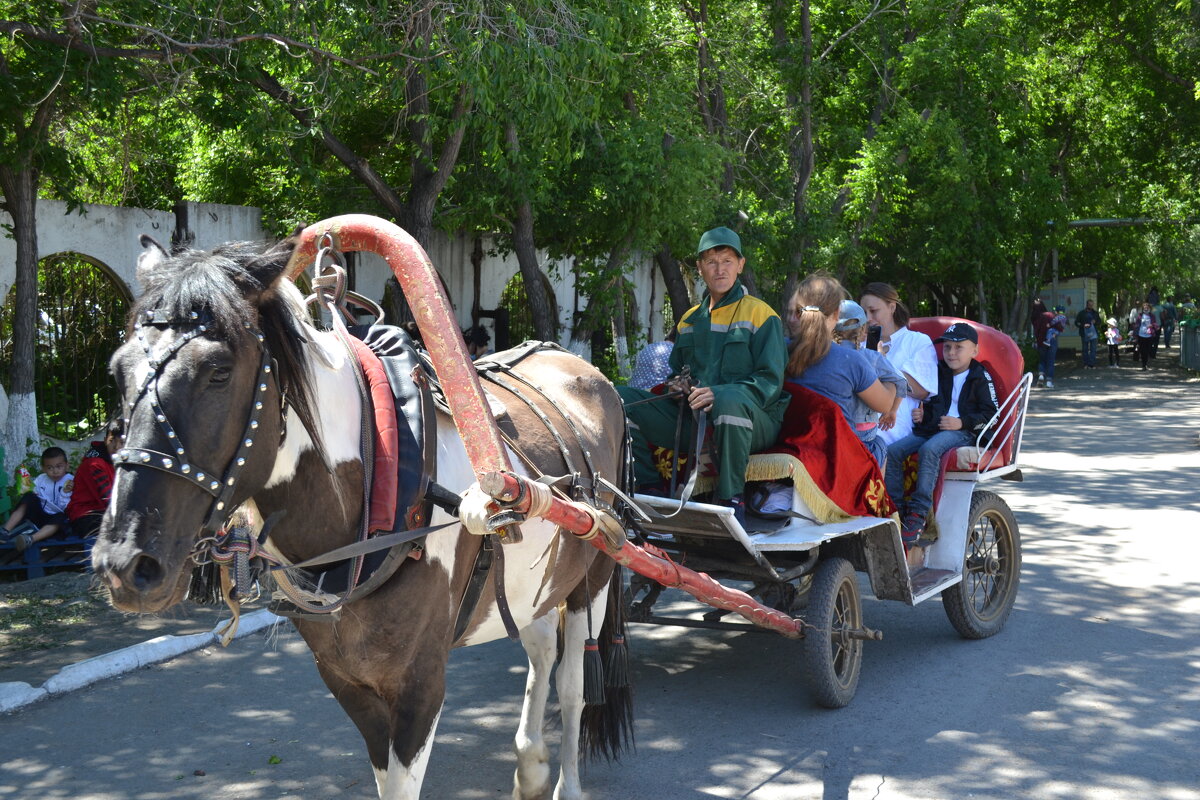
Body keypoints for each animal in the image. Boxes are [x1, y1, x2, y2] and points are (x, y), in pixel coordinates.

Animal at [92, 231, 633, 800]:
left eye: (218, 371)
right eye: (117, 372)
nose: (126, 564)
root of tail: (582, 367)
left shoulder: (420, 684)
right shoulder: (347, 680)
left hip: (594, 576)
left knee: (574, 684)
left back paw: (566, 780)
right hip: (539, 580)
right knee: (541, 646)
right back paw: (530, 765)